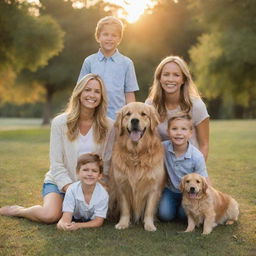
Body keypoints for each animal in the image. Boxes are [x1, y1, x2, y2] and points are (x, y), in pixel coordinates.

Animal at [108, 102, 166, 232]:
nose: (134, 120)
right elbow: (125, 209)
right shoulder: (122, 186)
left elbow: (149, 209)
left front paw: (149, 225)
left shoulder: (153, 187)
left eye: (143, 114)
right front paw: (123, 223)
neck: (136, 153)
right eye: (128, 114)